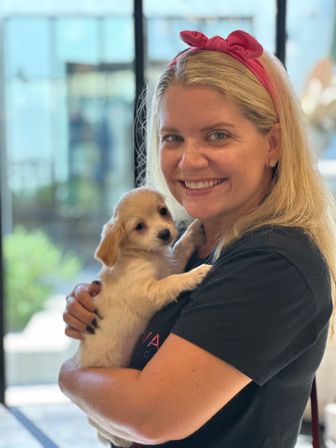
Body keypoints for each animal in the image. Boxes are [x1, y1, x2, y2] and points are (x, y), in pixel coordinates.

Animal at [75, 187, 211, 446]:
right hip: (113, 429)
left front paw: (194, 229)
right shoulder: (149, 291)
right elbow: (173, 281)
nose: (165, 233)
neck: (146, 256)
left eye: (163, 211)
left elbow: (180, 250)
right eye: (139, 226)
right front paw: (196, 274)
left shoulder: (170, 264)